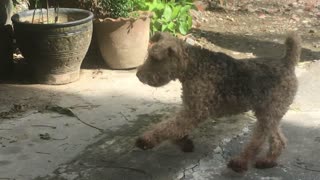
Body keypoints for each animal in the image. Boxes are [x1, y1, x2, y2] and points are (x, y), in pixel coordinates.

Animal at [135, 31, 300, 172]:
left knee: (257, 142)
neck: (192, 66)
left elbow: (167, 127)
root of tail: (287, 62)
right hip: (267, 112)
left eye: (155, 59)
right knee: (278, 139)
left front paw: (146, 140)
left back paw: (240, 163)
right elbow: (174, 127)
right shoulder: (190, 108)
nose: (138, 75)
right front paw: (184, 142)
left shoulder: (196, 111)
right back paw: (267, 161)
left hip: (268, 114)